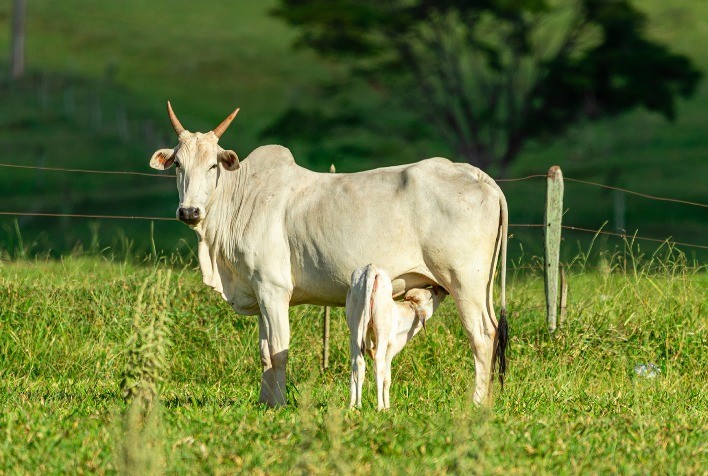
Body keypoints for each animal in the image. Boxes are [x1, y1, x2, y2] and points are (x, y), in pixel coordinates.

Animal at [346, 264, 447, 410]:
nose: (442, 289)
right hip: (381, 331)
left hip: (356, 328)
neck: (400, 315)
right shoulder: (391, 345)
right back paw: (380, 406)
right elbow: (387, 377)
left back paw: (357, 405)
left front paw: (352, 404)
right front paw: (387, 406)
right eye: (430, 297)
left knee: (358, 363)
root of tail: (371, 269)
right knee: (378, 362)